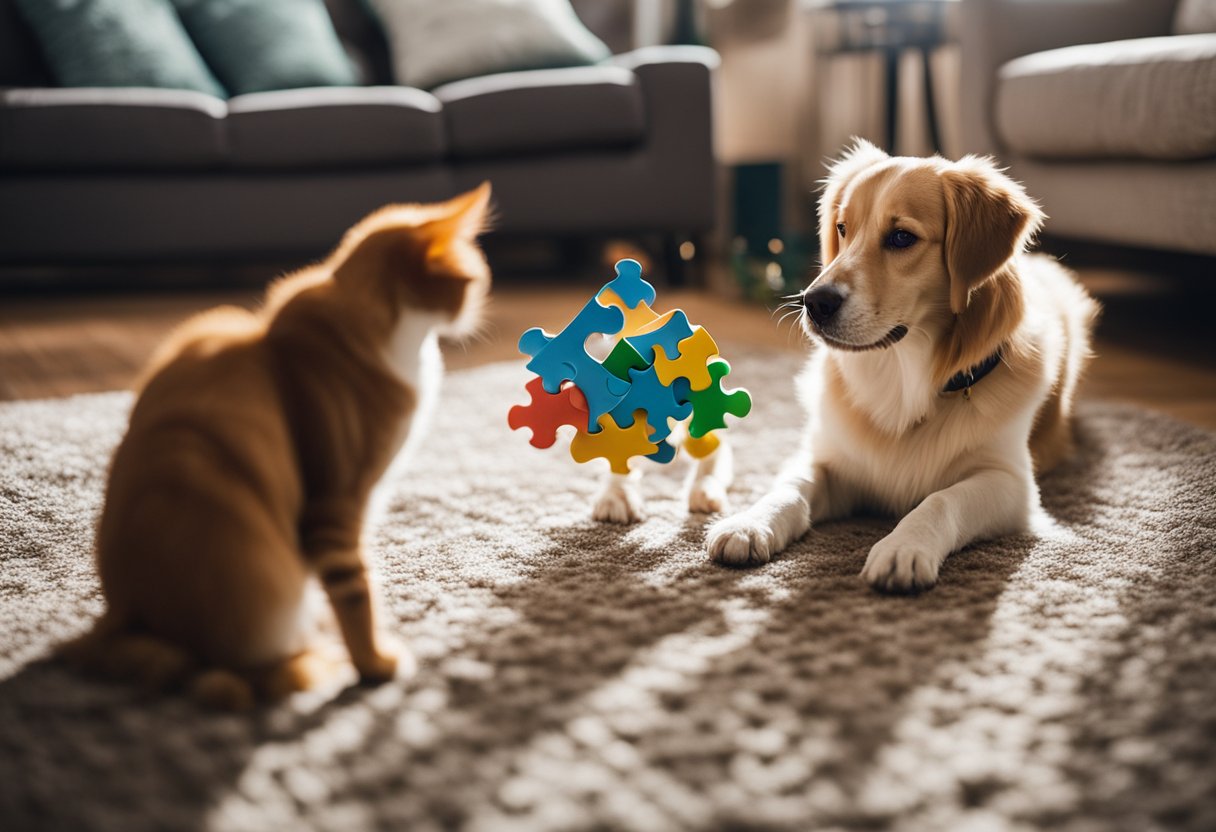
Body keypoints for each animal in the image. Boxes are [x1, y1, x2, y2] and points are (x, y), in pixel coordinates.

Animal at [59, 183, 491, 710]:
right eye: (473, 282)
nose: (478, 313)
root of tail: (123, 613)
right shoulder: (336, 505)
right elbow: (358, 593)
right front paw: (373, 664)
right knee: (233, 679)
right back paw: (316, 662)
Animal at [705, 138, 1094, 591]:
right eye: (843, 228)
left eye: (902, 237)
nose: (814, 302)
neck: (901, 373)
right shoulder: (830, 458)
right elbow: (789, 487)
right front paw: (749, 523)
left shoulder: (1010, 482)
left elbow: (941, 500)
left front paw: (904, 546)